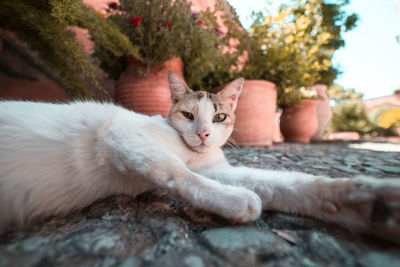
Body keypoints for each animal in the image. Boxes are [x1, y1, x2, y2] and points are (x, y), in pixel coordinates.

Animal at [0, 72, 398, 244]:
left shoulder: (215, 169)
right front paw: (234, 201)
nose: (205, 133)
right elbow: (175, 171)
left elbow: (286, 184)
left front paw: (367, 202)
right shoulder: (120, 133)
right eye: (189, 115)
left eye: (219, 117)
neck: (190, 150)